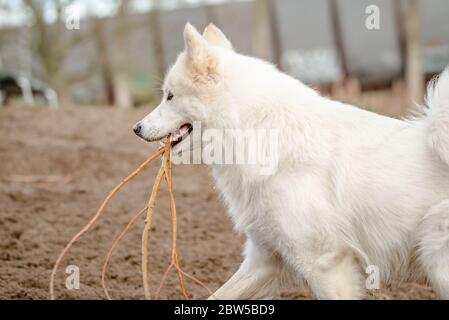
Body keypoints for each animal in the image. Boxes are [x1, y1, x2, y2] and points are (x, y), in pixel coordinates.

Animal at [134, 23, 448, 300]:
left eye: (170, 96)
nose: (136, 128)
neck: (257, 134)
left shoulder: (326, 263)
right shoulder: (266, 260)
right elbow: (218, 294)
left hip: (437, 262)